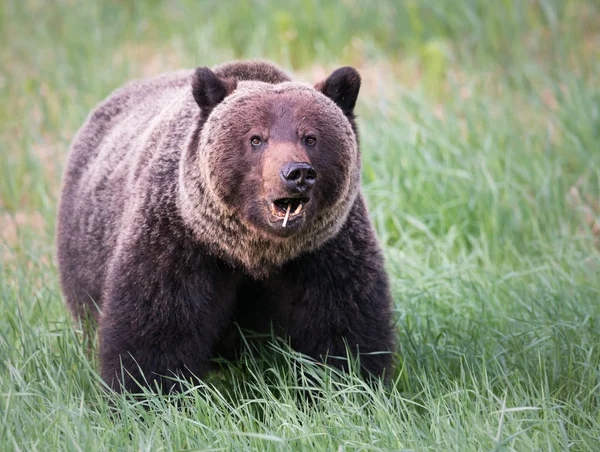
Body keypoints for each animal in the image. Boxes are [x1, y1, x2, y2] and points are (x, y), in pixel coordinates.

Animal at [55, 60, 394, 392]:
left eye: (310, 137)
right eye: (256, 138)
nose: (296, 173)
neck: (254, 253)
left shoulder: (325, 252)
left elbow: (344, 326)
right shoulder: (177, 243)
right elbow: (153, 333)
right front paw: (146, 394)